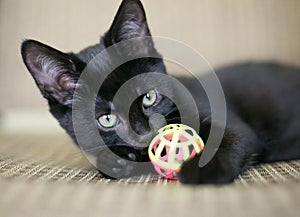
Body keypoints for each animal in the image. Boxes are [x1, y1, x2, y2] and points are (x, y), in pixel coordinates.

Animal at [21, 0, 300, 183]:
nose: (145, 134)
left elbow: (232, 136)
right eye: (107, 119)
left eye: (149, 97)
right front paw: (115, 160)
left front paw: (200, 169)